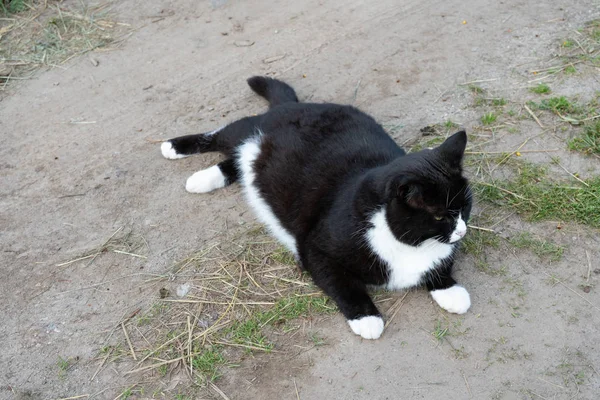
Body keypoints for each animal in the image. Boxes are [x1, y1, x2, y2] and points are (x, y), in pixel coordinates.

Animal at [162, 76, 472, 340]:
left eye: (466, 207)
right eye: (439, 216)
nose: (461, 232)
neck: (411, 245)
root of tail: (297, 105)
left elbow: (441, 264)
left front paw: (450, 290)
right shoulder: (316, 249)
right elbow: (342, 284)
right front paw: (366, 317)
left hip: (253, 156)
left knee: (237, 162)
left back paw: (203, 178)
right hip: (247, 131)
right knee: (221, 135)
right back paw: (175, 148)